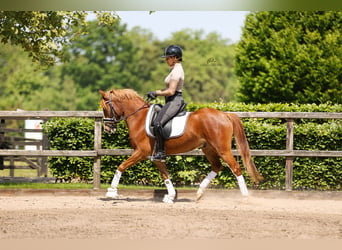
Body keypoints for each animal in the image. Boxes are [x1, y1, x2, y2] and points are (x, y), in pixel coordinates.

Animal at [99, 88, 264, 203]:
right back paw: (199, 193)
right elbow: (165, 175)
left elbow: (121, 166)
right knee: (217, 167)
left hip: (222, 149)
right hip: (208, 149)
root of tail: (224, 114)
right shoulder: (155, 156)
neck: (139, 118)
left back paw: (245, 197)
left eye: (105, 108)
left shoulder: (140, 152)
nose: (108, 129)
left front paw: (111, 191)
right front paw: (170, 197)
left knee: (235, 168)